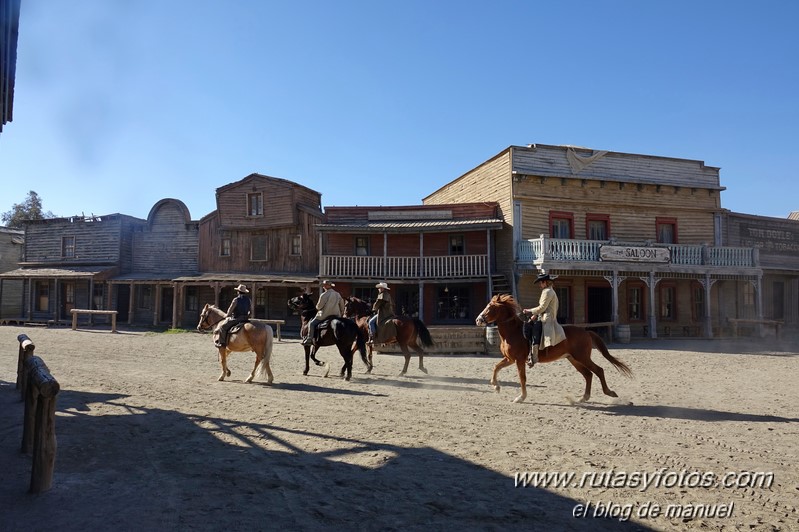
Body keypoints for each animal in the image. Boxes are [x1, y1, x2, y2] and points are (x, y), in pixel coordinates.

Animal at [476, 296, 632, 404]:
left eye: (490, 307)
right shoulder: (510, 359)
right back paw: (583, 398)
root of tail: (586, 332)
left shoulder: (519, 360)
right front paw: (496, 386)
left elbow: (522, 378)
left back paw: (609, 392)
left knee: (598, 370)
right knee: (588, 375)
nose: (478, 320)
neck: (514, 332)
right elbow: (496, 367)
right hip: (574, 359)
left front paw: (520, 397)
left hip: (582, 357)